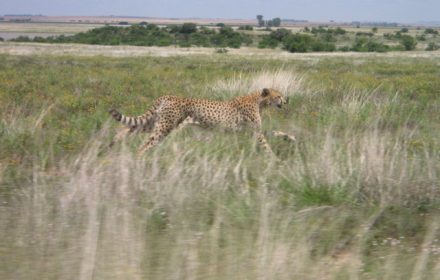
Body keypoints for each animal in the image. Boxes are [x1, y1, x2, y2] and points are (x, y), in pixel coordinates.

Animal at [108, 87, 290, 155]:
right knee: (145, 144)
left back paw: (115, 141)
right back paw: (139, 159)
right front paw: (274, 160)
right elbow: (266, 143)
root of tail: (167, 96)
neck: (259, 101)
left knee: (130, 128)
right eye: (278, 96)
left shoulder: (251, 131)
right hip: (165, 126)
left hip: (155, 123)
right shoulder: (254, 131)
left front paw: (290, 138)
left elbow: (273, 132)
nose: (285, 101)